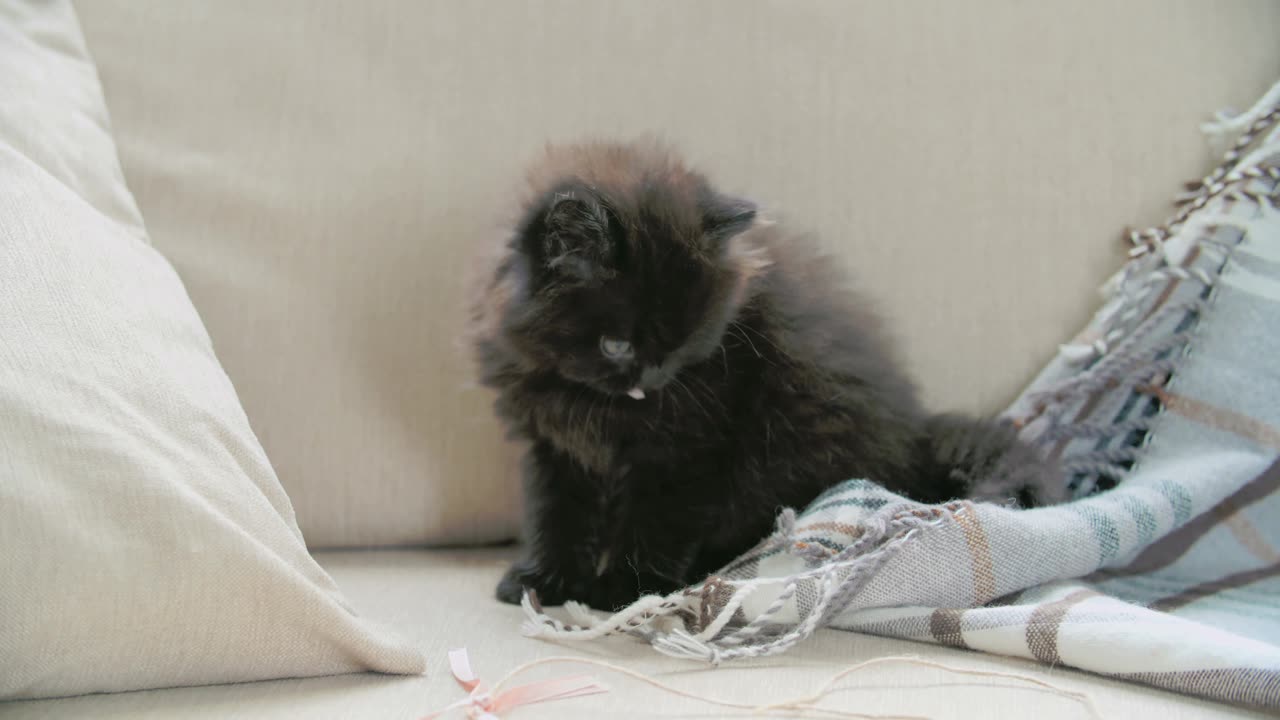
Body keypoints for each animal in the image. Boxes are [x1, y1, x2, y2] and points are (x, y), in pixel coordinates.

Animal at [471, 137, 1059, 607]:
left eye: (686, 343)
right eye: (617, 345)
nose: (653, 379)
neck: (587, 401)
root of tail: (915, 438)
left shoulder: (688, 449)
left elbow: (656, 520)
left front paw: (622, 589)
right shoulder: (553, 448)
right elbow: (555, 516)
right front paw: (540, 581)